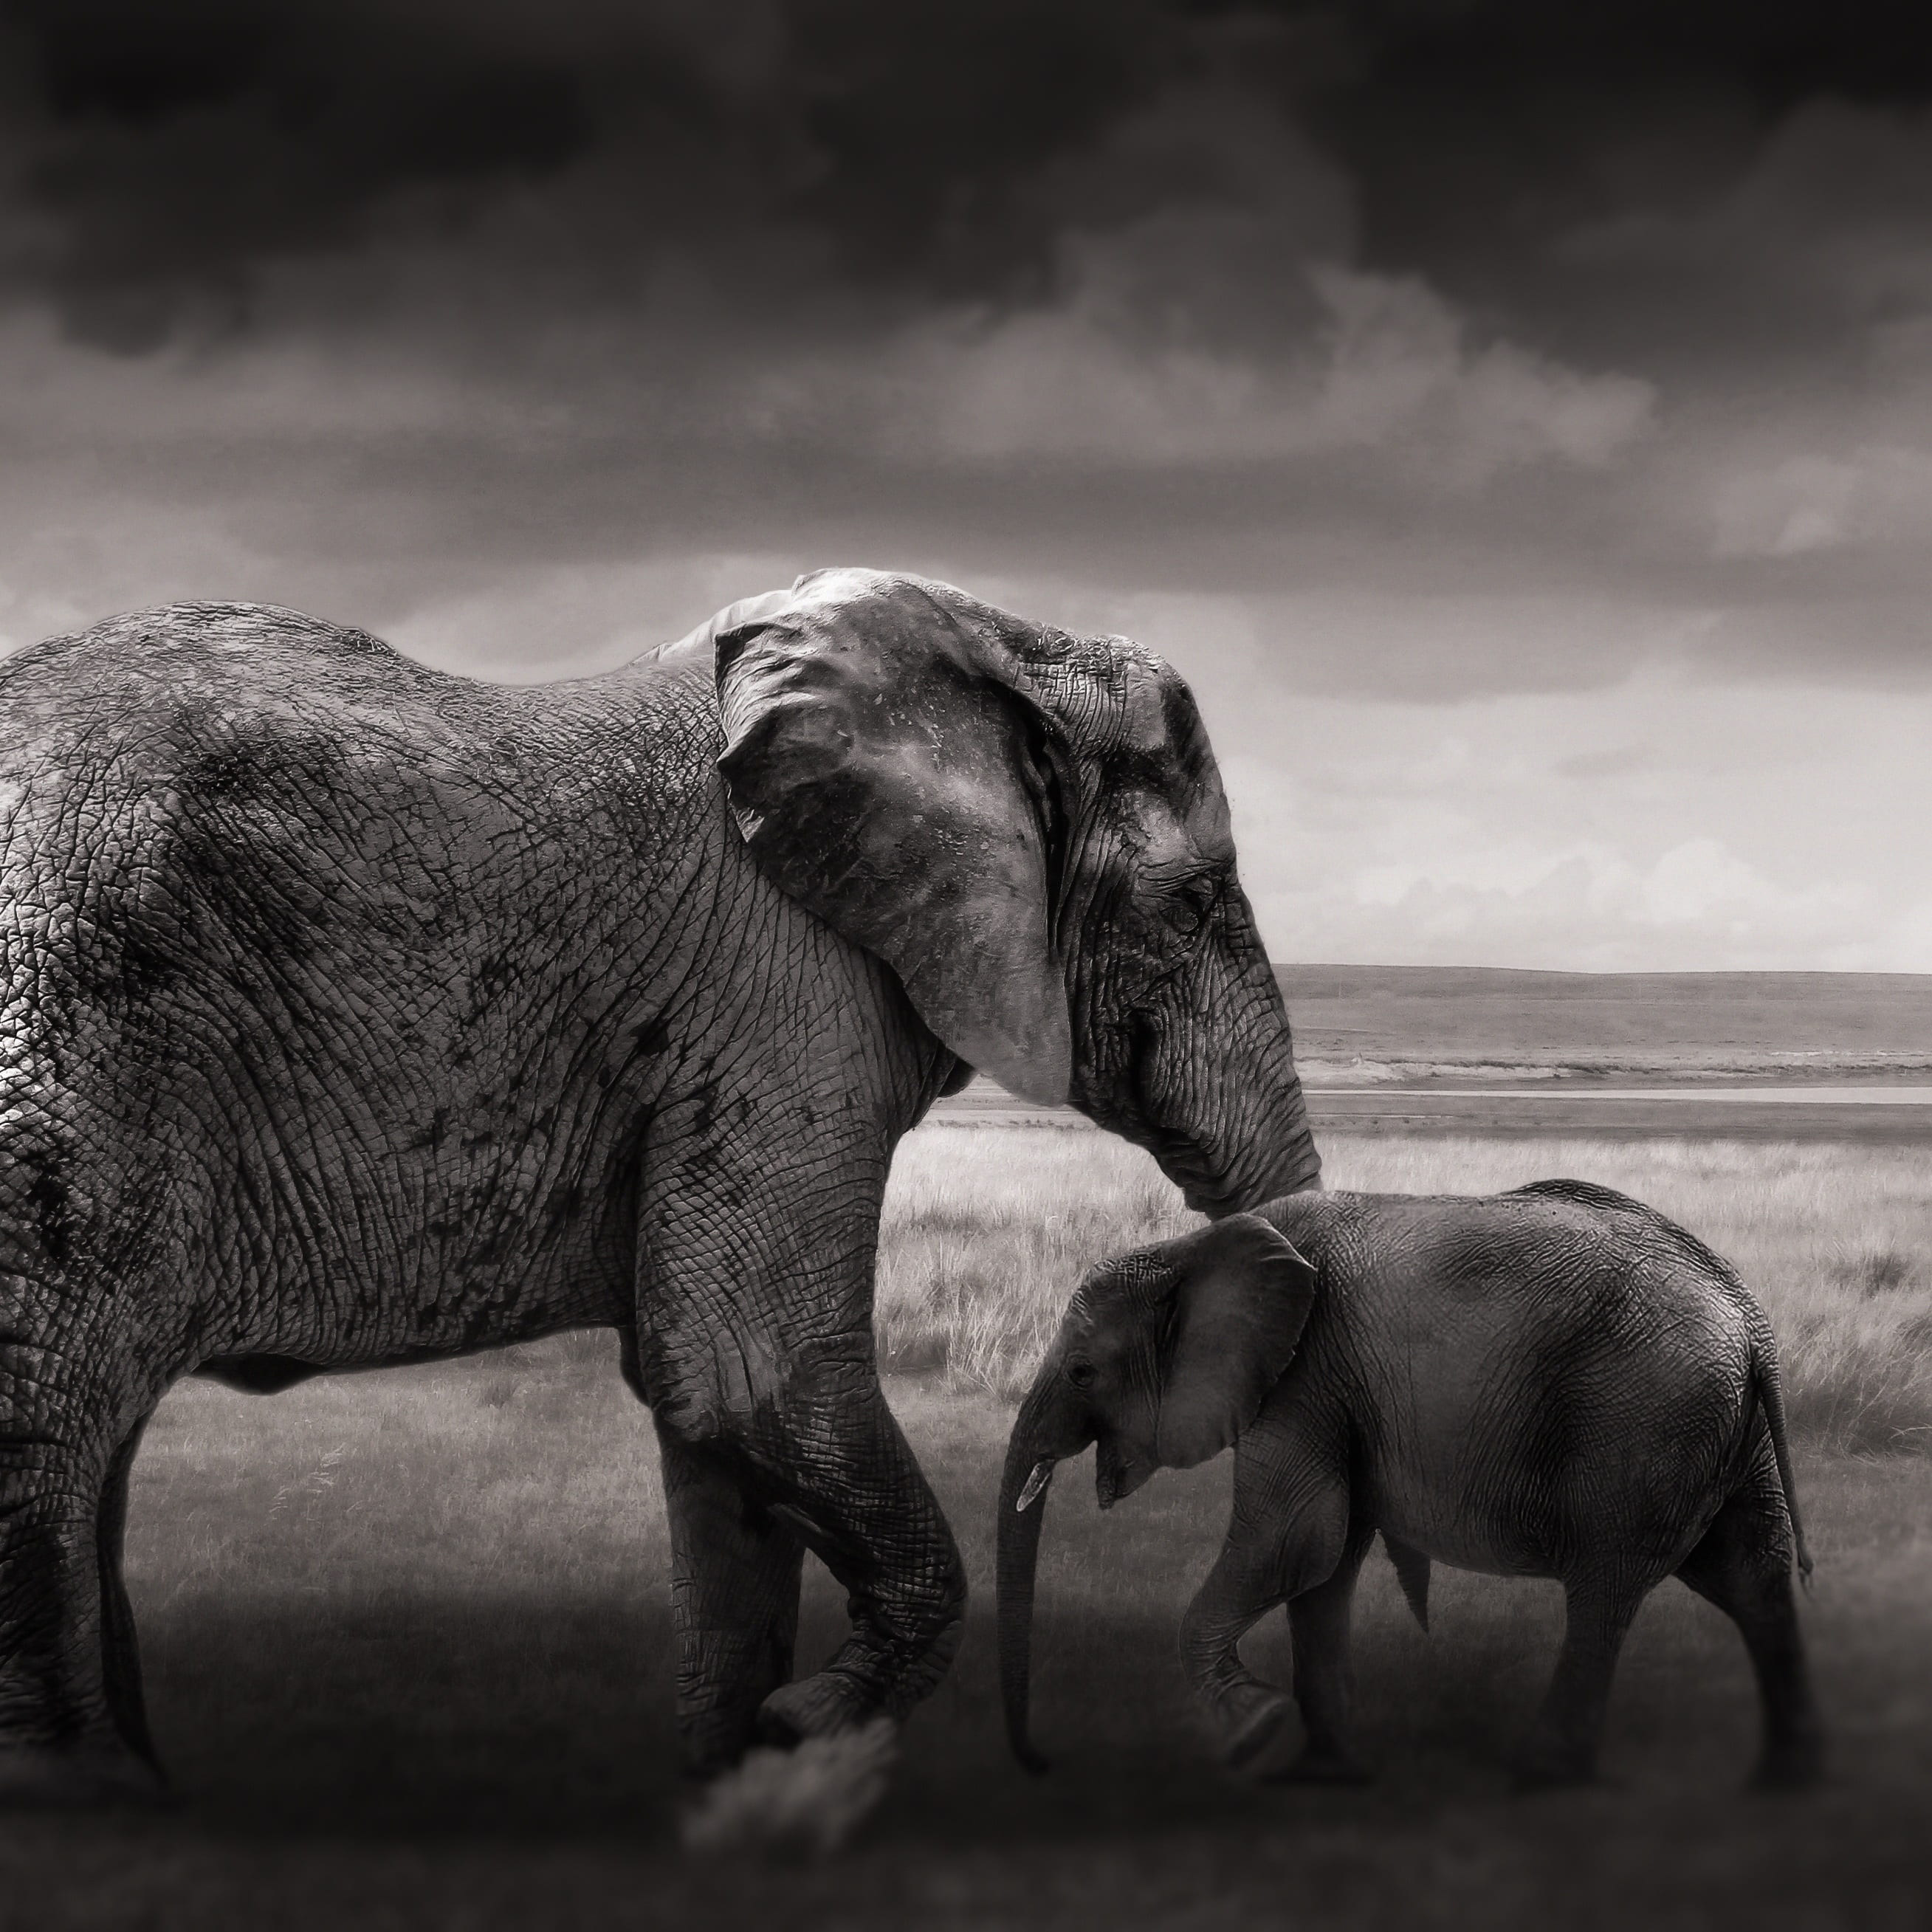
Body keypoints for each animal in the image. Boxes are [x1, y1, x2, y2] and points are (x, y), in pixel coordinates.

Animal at [0, 565, 1322, 1804]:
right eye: (1194, 901)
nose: (1259, 1732)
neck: (1001, 649)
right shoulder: (783, 994)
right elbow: (748, 1371)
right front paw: (805, 1723)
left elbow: (720, 1432)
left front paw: (739, 1775)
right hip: (74, 1042)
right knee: (55, 1410)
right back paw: (101, 1799)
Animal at [998, 1179, 1822, 1791]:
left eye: (1083, 1371)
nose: (1040, 1762)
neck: (1186, 1249)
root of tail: (1751, 1321)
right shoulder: (1339, 1392)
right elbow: (1323, 1564)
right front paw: (1324, 1770)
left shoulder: (1303, 1375)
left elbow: (1294, 1541)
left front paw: (1255, 1731)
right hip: (1725, 1431)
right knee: (1752, 1576)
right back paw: (1782, 1779)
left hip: (1643, 1421)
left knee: (1605, 1590)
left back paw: (1538, 1774)